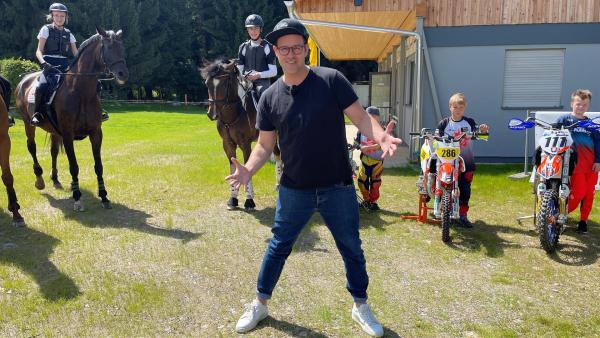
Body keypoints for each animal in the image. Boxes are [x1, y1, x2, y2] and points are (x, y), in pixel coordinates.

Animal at [15, 27, 129, 211]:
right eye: (108, 48)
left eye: (122, 48)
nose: (122, 74)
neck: (80, 91)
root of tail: (23, 81)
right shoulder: (68, 135)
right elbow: (74, 167)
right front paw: (77, 198)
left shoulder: (96, 133)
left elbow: (99, 166)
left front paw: (104, 196)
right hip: (28, 124)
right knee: (31, 148)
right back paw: (39, 180)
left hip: (54, 131)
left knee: (53, 151)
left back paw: (55, 179)